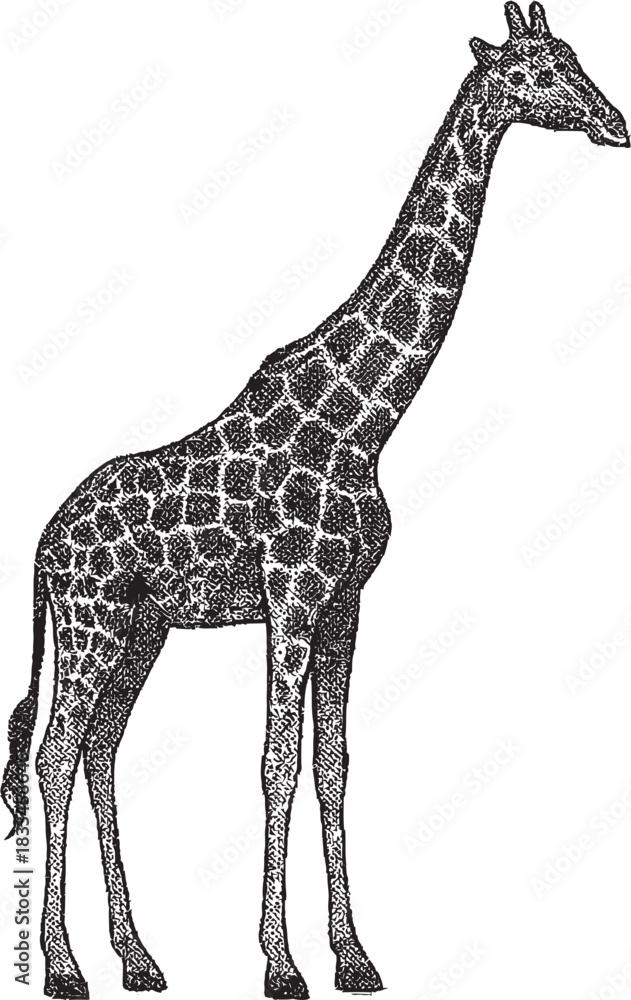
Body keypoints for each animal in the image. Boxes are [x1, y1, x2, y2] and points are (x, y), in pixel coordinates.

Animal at [2, 4, 628, 998]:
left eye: (572, 55)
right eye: (534, 72)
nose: (616, 124)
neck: (365, 420)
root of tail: (42, 543)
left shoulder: (345, 602)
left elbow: (332, 766)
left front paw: (355, 956)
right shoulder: (292, 597)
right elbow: (275, 763)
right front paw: (281, 965)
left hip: (141, 629)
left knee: (101, 749)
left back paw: (139, 958)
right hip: (90, 624)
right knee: (56, 752)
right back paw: (65, 968)